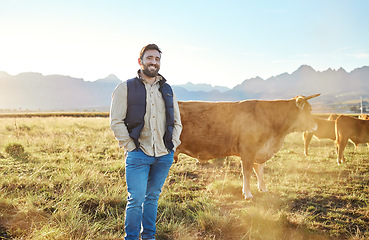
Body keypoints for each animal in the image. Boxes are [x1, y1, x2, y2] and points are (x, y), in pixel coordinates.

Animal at [174, 94, 318, 199]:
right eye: (310, 109)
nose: (315, 125)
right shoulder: (248, 151)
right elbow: (247, 172)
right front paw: (248, 194)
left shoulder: (258, 151)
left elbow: (259, 170)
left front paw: (263, 188)